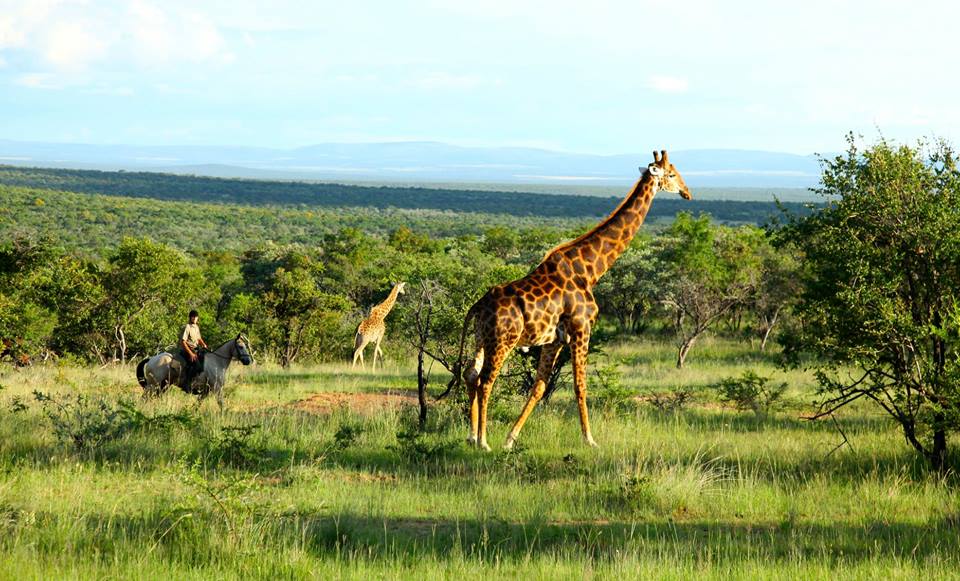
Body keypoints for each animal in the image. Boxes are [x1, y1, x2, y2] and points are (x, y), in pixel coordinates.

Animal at [458, 151, 688, 448]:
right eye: (671, 174)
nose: (687, 193)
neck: (590, 270)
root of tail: (477, 306)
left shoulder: (554, 340)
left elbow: (540, 386)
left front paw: (510, 439)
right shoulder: (582, 329)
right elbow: (580, 384)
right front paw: (590, 439)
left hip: (481, 338)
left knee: (471, 375)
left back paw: (471, 435)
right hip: (502, 340)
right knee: (486, 381)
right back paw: (483, 441)